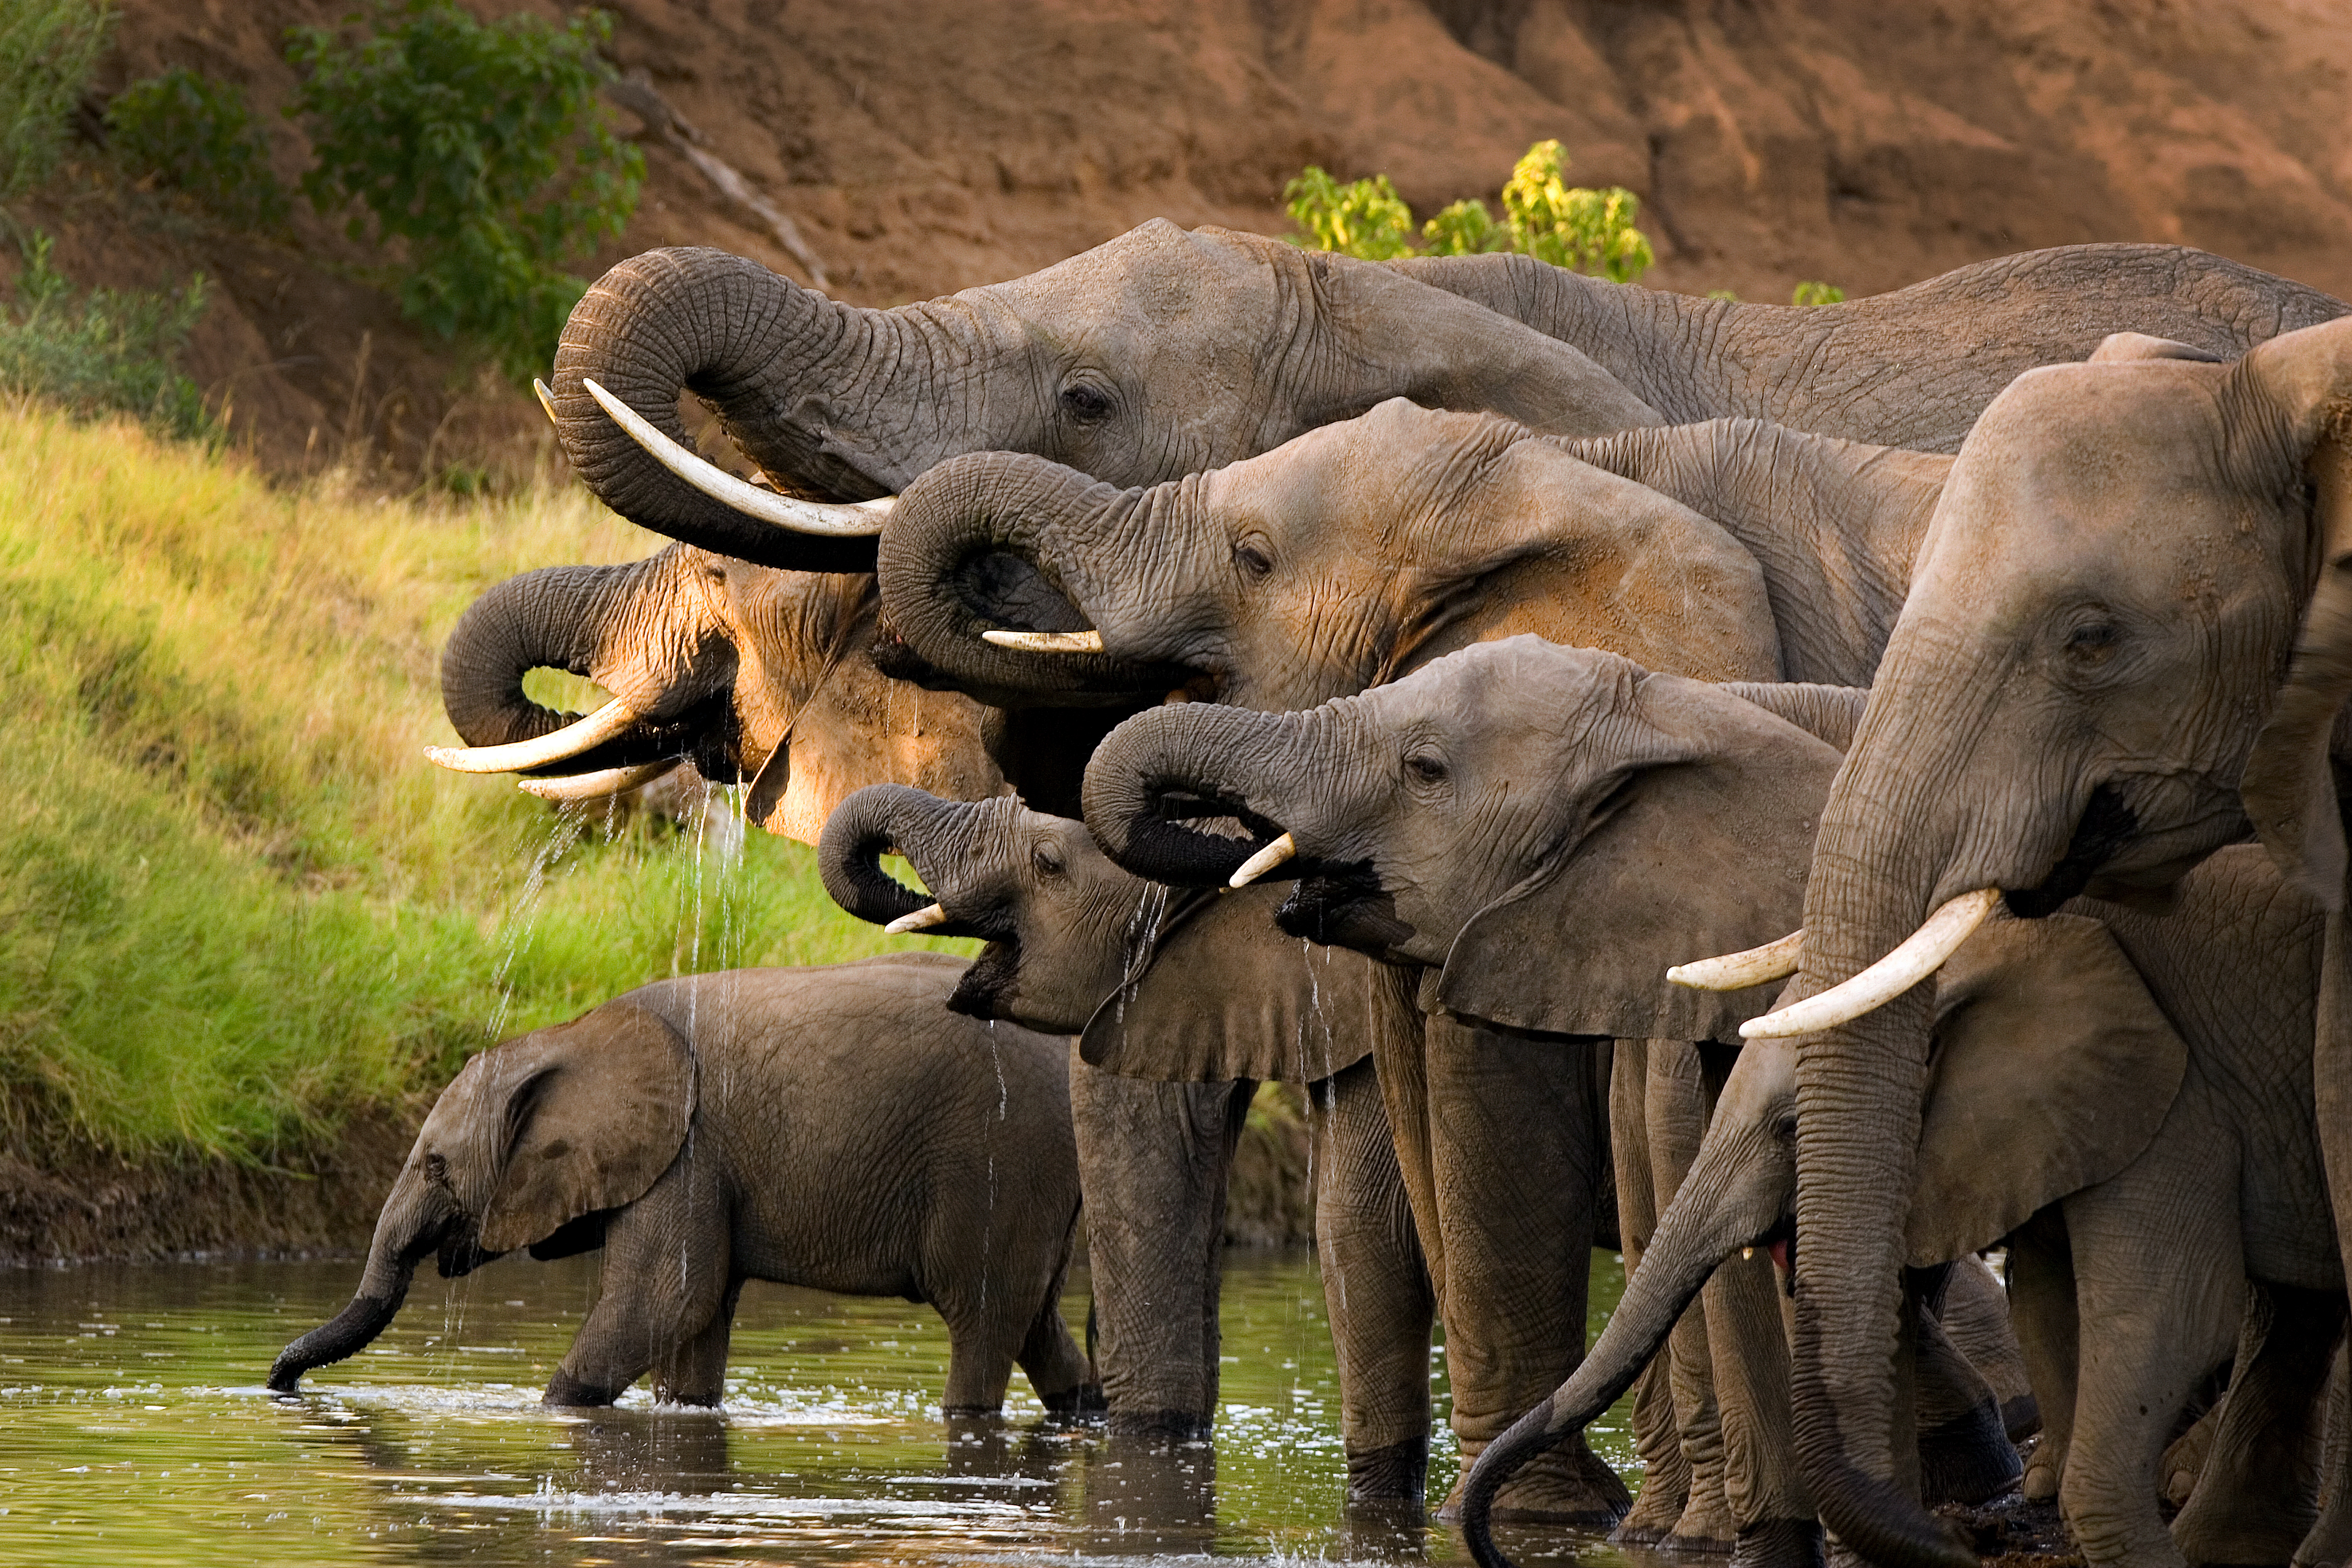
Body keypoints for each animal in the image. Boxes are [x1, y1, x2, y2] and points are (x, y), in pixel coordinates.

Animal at [268, 954, 1099, 1416]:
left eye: (436, 1166)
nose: (278, 1381)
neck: (573, 1034)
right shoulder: (698, 1164)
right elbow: (694, 1324)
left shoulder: (687, 1154)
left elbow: (664, 1301)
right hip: (1042, 1181)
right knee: (1037, 1324)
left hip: (1001, 1162)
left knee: (982, 1322)